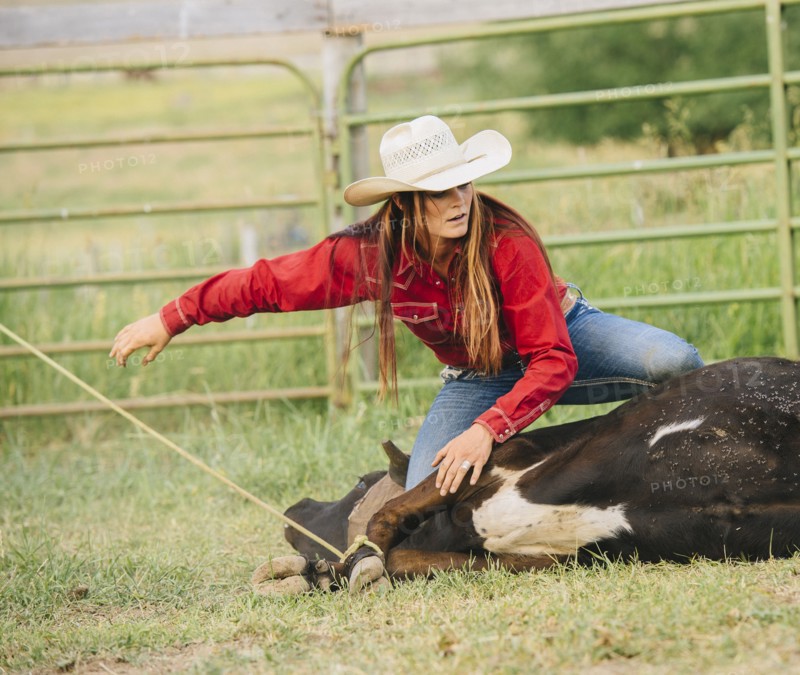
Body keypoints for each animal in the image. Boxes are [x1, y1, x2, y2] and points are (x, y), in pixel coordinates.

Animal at [251, 357, 800, 594]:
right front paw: (324, 570)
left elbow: (388, 516)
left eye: (361, 482)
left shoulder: (498, 454)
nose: (294, 507)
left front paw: (348, 563)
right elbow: (408, 558)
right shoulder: (549, 560)